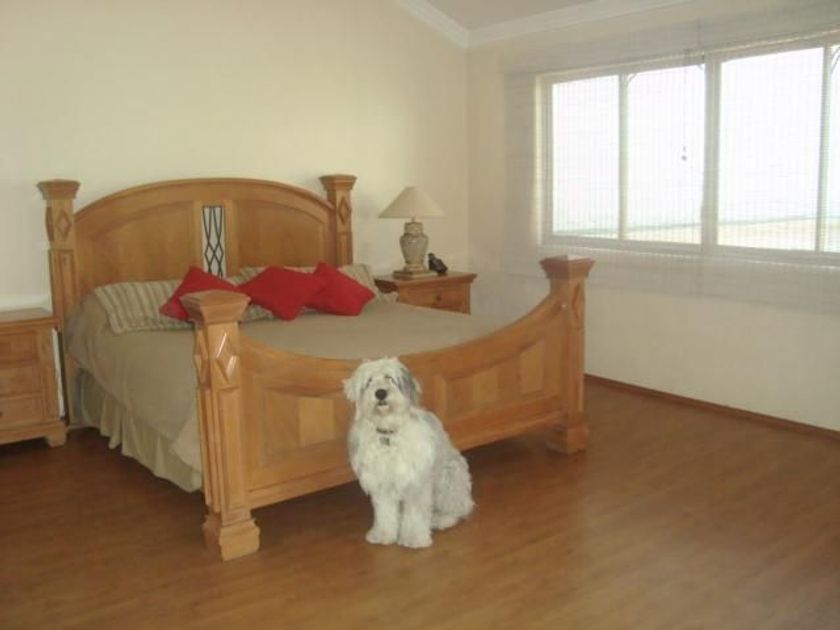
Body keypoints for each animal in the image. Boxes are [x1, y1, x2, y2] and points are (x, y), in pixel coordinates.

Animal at [344, 357, 474, 548]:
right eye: (369, 381)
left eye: (389, 378)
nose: (380, 393)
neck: (389, 434)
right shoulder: (383, 484)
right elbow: (385, 513)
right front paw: (383, 535)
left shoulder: (416, 483)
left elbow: (414, 515)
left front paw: (414, 539)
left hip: (448, 478)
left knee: (457, 508)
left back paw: (441, 519)